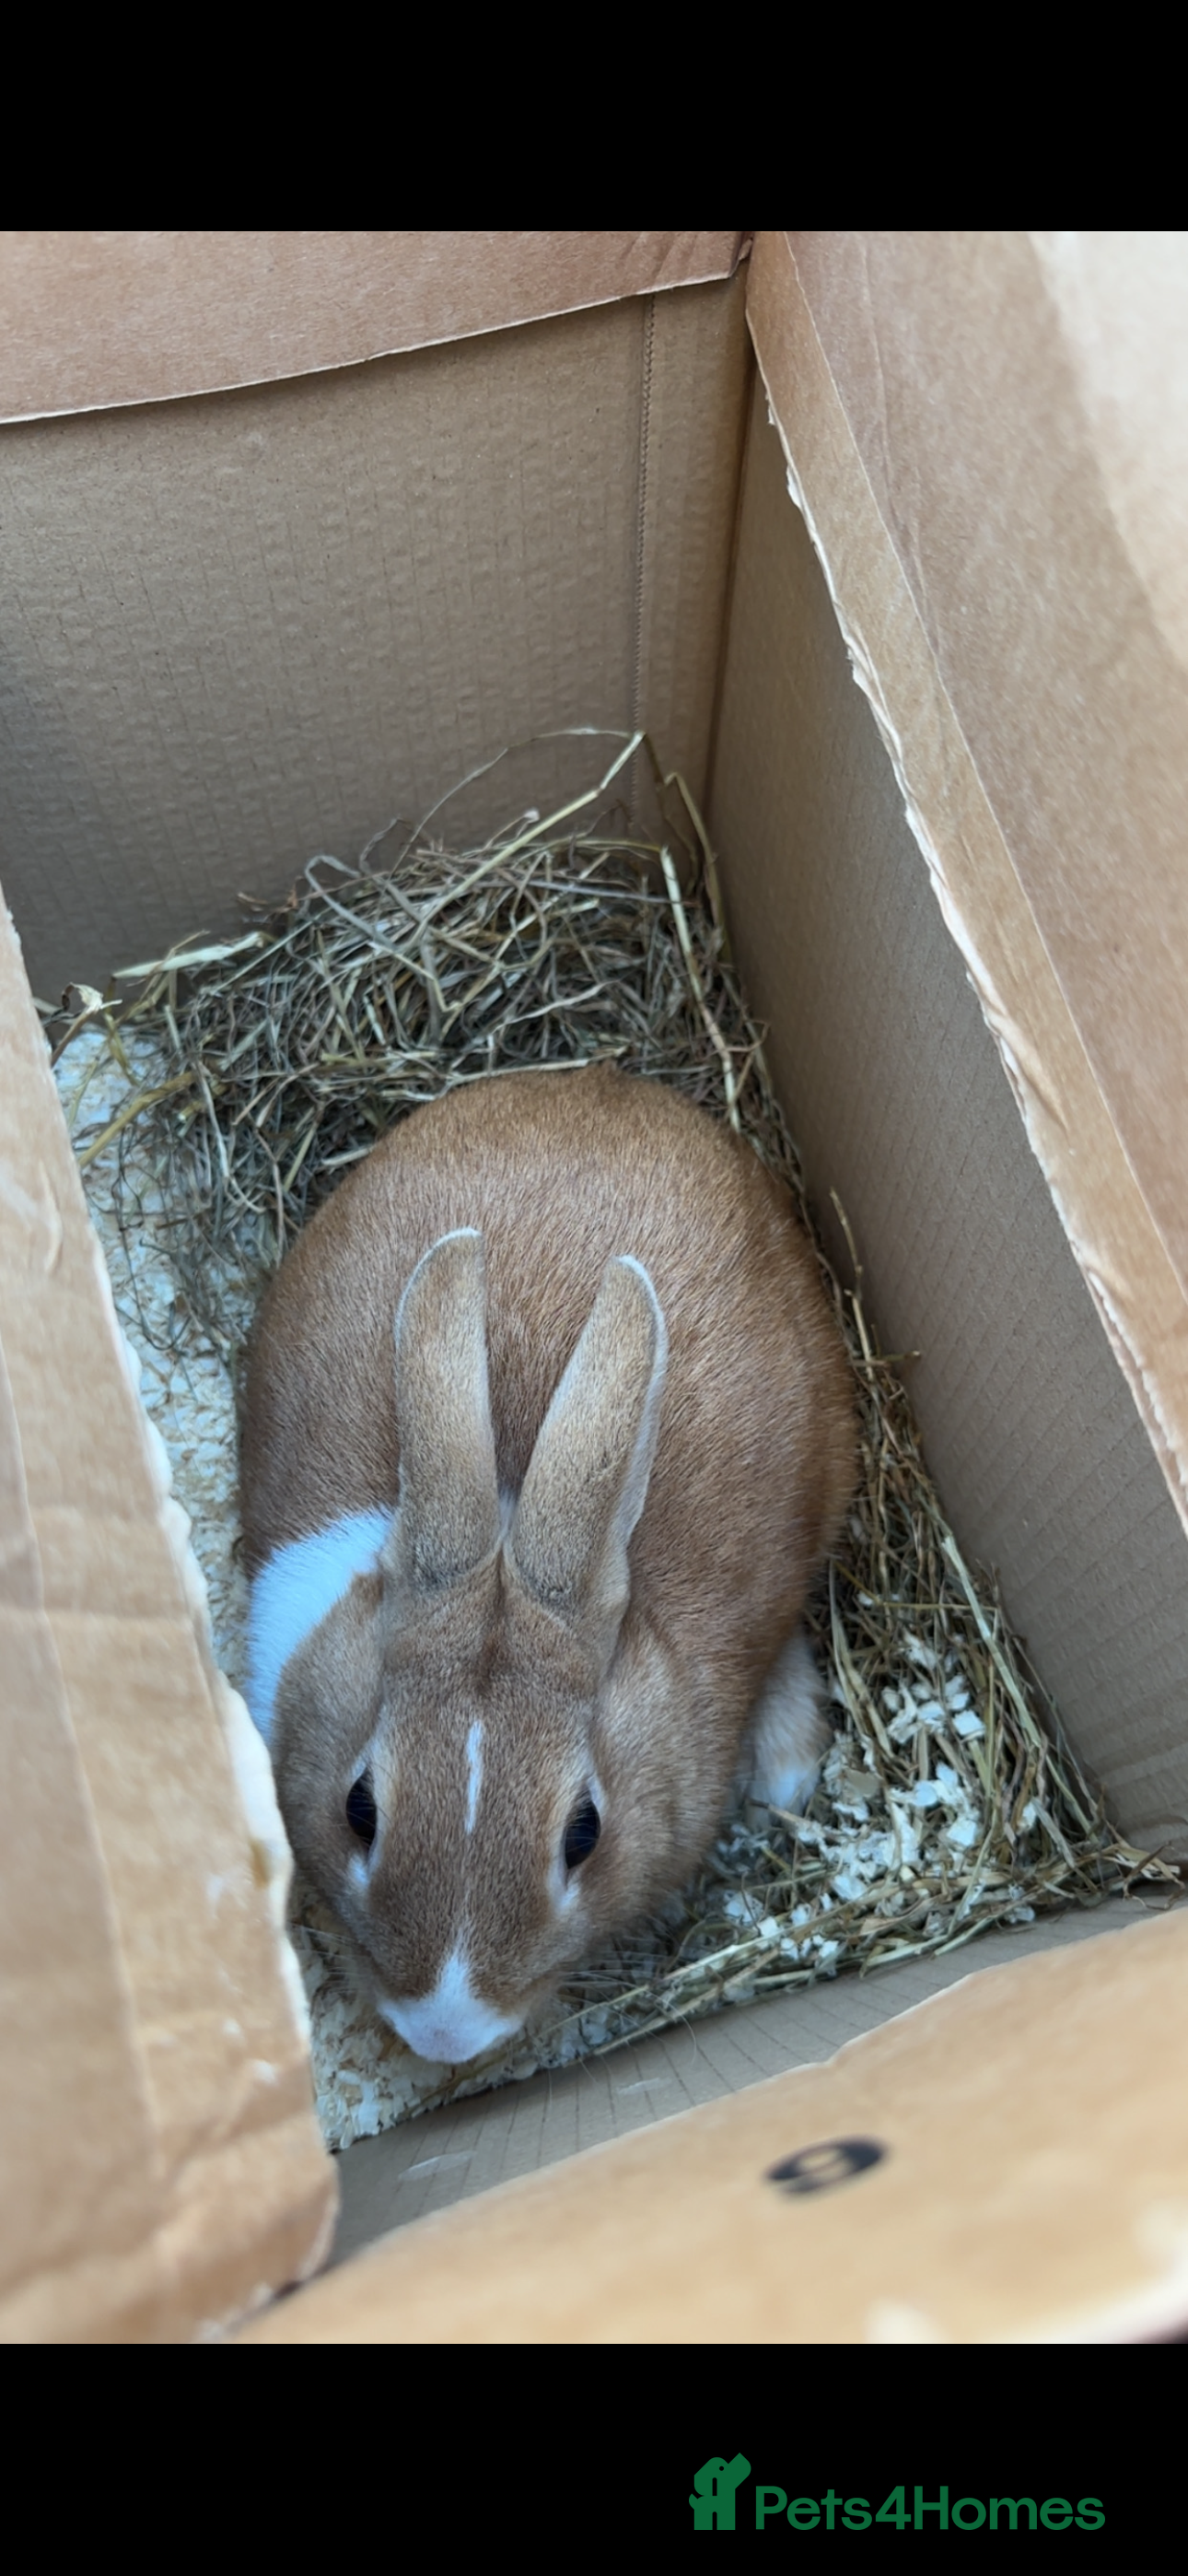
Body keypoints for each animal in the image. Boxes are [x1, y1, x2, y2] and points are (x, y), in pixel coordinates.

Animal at [239, 1063, 855, 2067]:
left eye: (584, 1834)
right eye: (360, 1808)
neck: (506, 1531)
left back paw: (787, 1766)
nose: (445, 2032)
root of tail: (609, 1085)